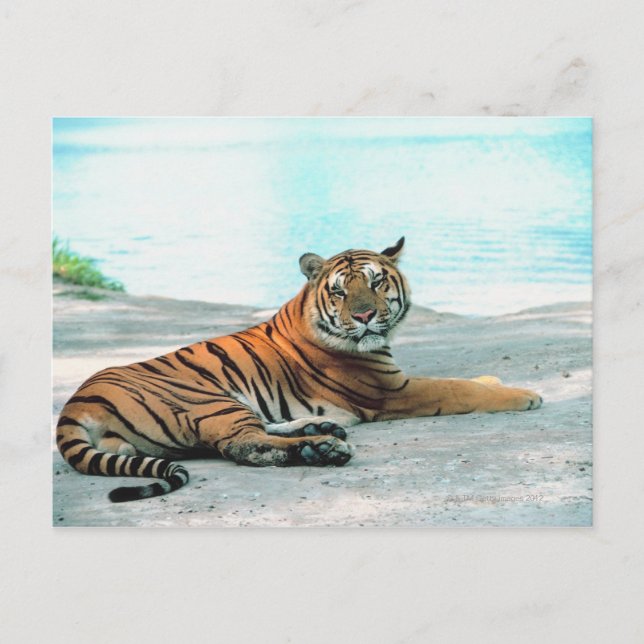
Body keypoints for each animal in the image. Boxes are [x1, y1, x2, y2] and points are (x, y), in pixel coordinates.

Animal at [56, 237, 542, 502]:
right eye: (341, 291)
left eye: (377, 282)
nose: (365, 316)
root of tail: (75, 403)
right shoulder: (394, 390)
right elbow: (460, 388)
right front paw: (526, 394)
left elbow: (471, 380)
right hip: (208, 399)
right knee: (244, 445)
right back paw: (323, 448)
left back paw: (320, 430)